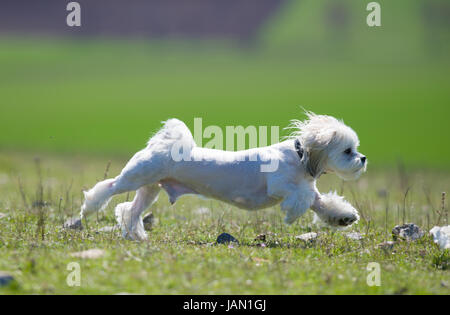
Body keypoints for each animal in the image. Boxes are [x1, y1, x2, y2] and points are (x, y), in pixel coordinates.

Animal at [82, 113, 368, 242]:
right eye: (348, 151)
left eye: (355, 149)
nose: (363, 158)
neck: (300, 156)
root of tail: (159, 145)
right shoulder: (281, 185)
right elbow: (302, 197)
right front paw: (292, 214)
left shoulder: (311, 192)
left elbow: (321, 203)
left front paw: (343, 217)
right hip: (136, 177)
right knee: (108, 188)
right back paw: (89, 207)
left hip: (150, 188)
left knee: (130, 210)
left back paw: (135, 235)